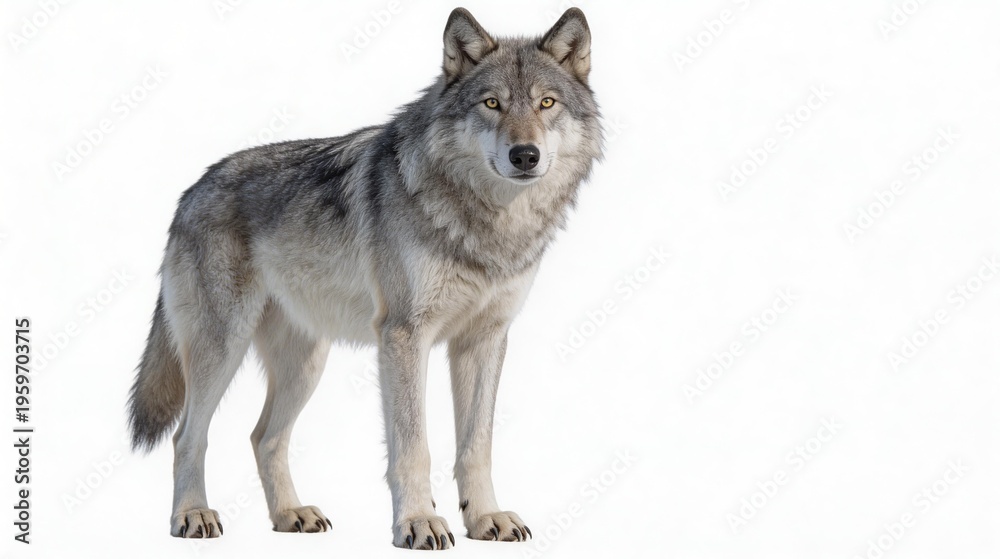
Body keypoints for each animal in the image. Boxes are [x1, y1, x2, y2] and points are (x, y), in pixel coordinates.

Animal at [127, 7, 602, 549]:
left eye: (546, 103)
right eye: (492, 103)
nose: (525, 155)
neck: (488, 223)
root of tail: (190, 190)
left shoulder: (484, 340)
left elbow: (476, 446)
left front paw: (486, 519)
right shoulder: (404, 336)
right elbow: (414, 446)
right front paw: (418, 523)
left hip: (307, 365)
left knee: (264, 437)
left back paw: (290, 514)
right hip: (222, 347)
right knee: (188, 435)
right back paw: (192, 515)